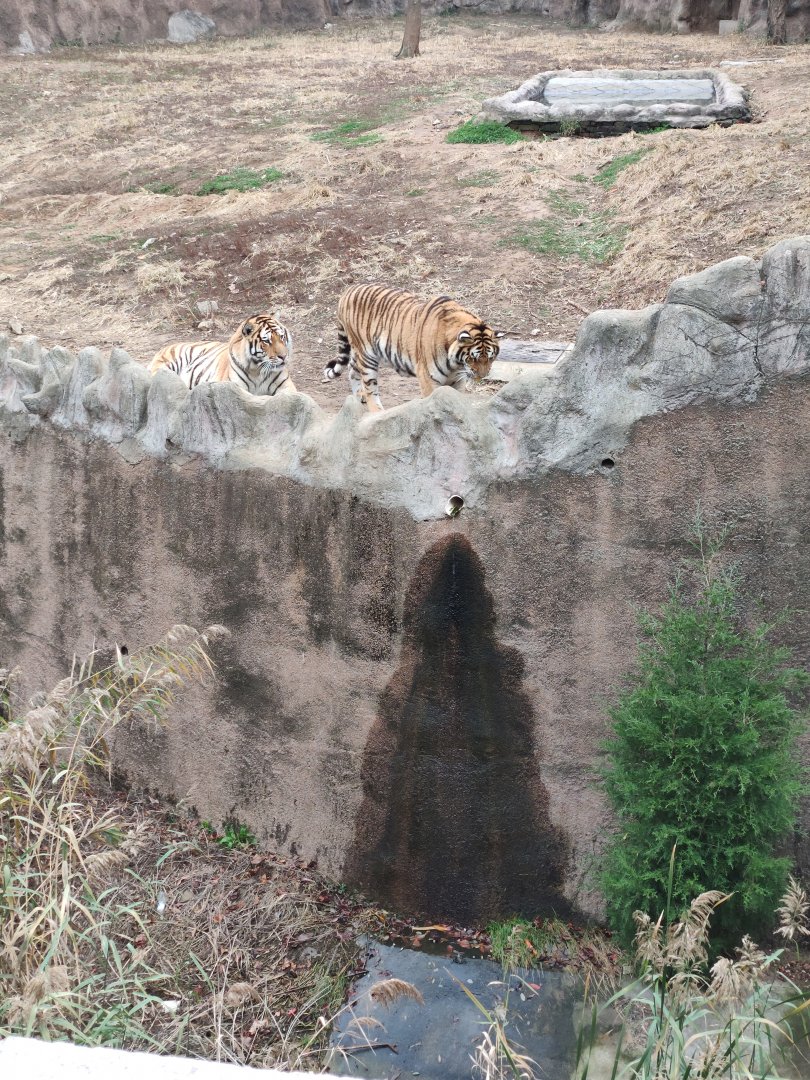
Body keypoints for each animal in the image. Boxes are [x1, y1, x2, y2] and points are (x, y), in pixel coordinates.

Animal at [322, 284, 503, 412]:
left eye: (491, 357)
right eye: (473, 358)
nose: (482, 376)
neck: (456, 363)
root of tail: (348, 291)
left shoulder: (457, 380)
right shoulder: (428, 379)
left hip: (358, 351)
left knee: (352, 370)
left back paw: (359, 397)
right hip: (367, 356)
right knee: (370, 387)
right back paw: (377, 412)